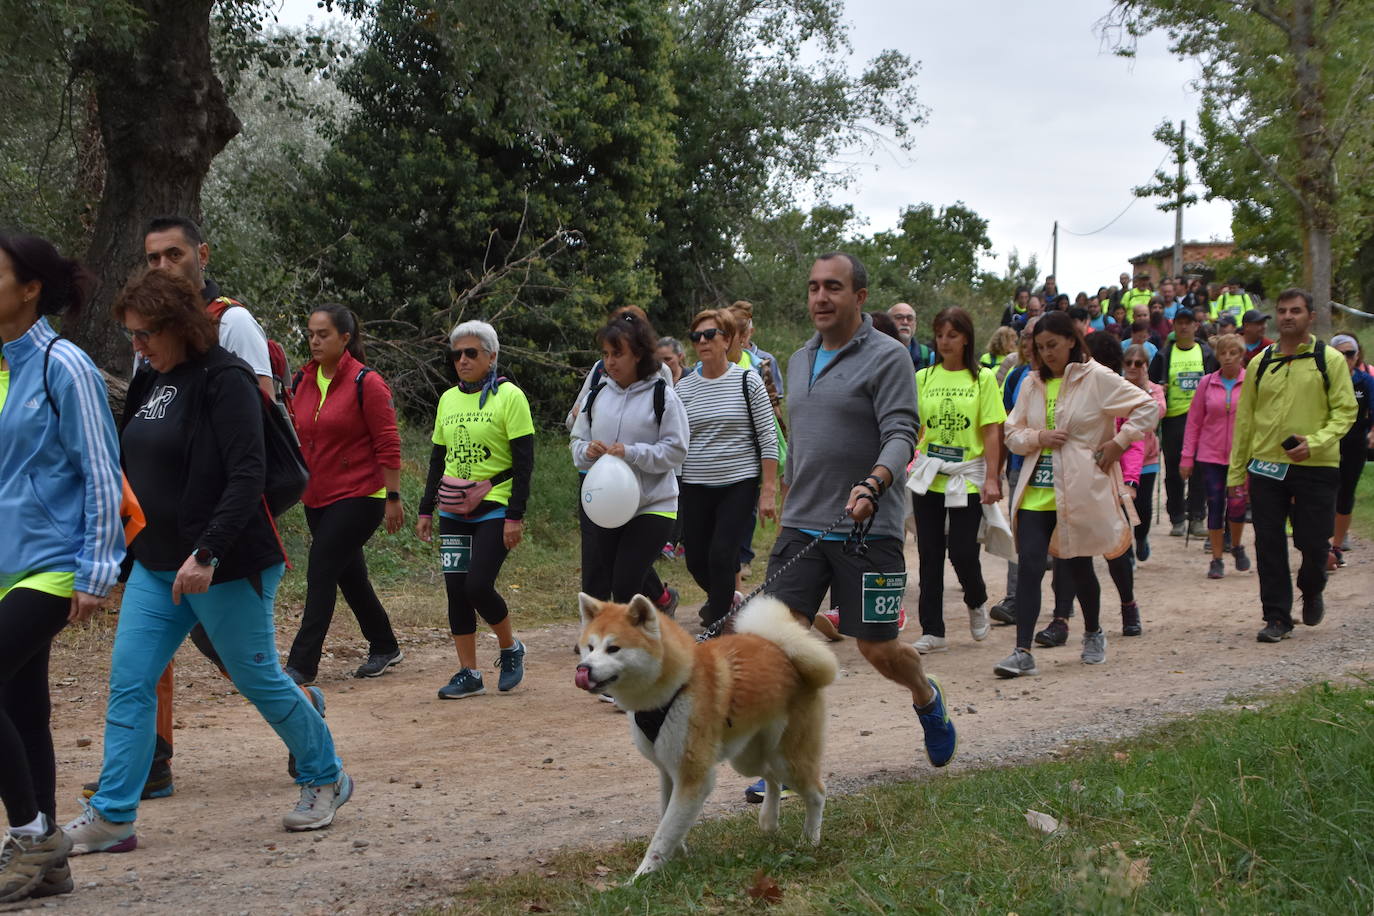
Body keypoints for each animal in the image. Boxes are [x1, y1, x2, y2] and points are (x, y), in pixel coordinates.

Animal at [571, 590, 835, 878]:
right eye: (590, 647)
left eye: (613, 648)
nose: (583, 669)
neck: (676, 686)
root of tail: (784, 653)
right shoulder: (667, 769)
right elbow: (667, 815)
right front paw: (678, 853)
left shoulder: (693, 775)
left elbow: (663, 833)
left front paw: (642, 876)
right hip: (747, 759)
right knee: (771, 778)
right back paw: (769, 821)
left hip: (786, 758)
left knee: (816, 792)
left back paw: (810, 839)